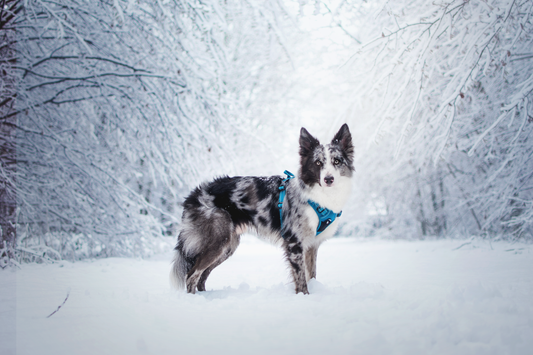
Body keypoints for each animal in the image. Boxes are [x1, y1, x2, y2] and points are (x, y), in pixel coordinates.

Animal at [170, 124, 354, 294]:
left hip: (228, 246)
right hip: (218, 241)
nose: (328, 179)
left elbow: (312, 275)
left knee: (202, 275)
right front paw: (304, 297)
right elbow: (301, 279)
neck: (319, 196)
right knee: (192, 275)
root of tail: (194, 195)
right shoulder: (294, 243)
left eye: (337, 161)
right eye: (318, 163)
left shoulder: (311, 245)